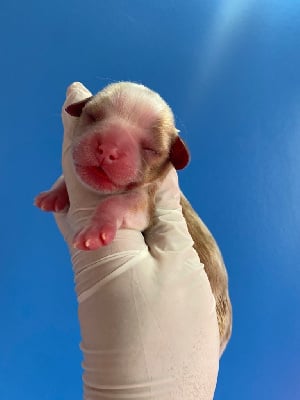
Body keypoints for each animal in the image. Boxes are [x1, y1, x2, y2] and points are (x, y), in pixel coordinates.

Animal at [35, 80, 232, 354]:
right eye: (93, 116)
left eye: (150, 148)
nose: (108, 148)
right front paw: (54, 195)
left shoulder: (146, 201)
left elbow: (116, 203)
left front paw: (96, 229)